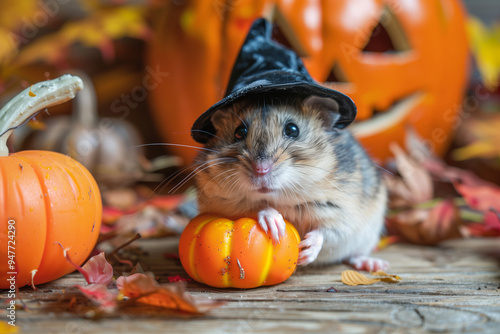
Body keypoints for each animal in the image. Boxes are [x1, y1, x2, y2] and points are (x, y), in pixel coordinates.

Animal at [193, 94, 388, 272]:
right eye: (239, 132)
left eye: (293, 130)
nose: (261, 169)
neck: (284, 199)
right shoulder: (222, 204)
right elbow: (254, 206)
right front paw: (273, 222)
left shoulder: (344, 214)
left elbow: (326, 232)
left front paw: (306, 251)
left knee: (354, 255)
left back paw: (373, 264)